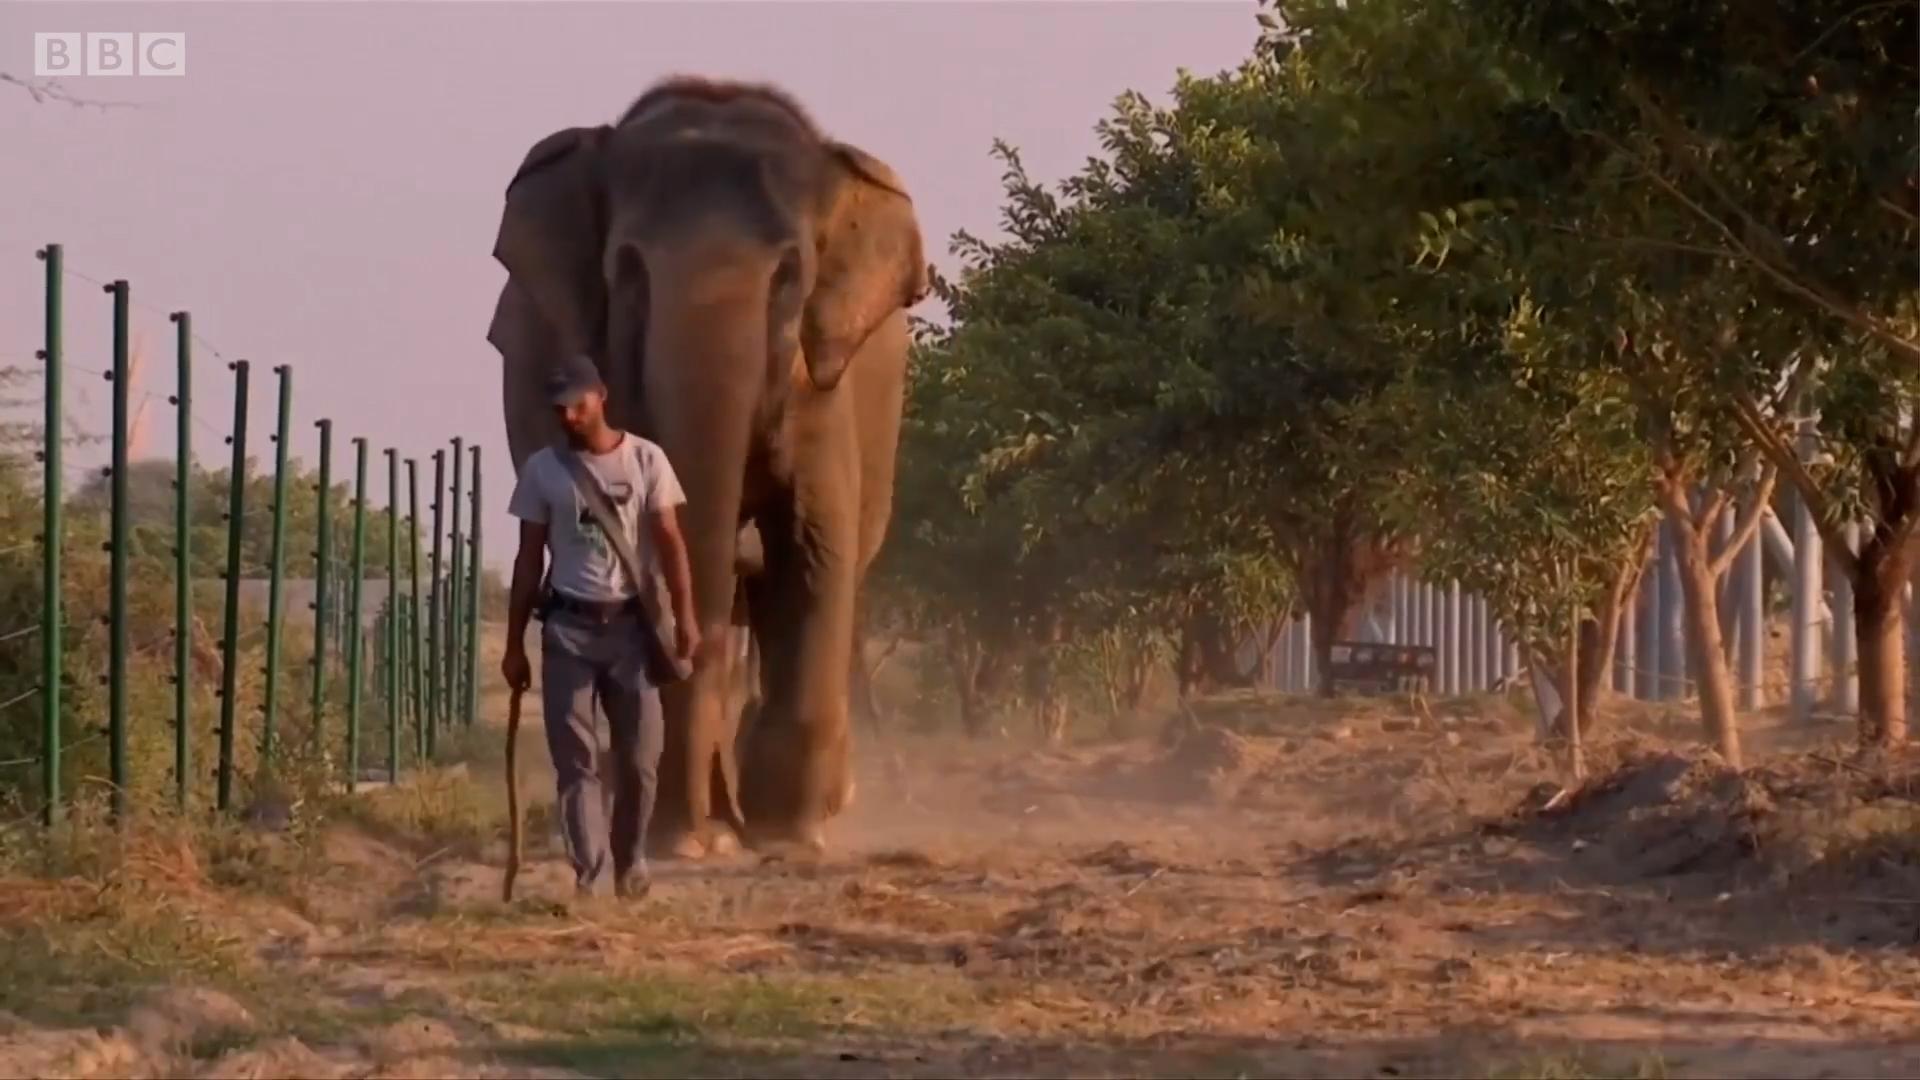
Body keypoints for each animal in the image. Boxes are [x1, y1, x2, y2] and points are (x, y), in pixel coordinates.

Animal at [485, 76, 930, 859]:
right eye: (628, 271)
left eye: (790, 274)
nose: (699, 830)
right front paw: (692, 839)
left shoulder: (822, 388)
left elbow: (813, 549)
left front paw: (788, 835)